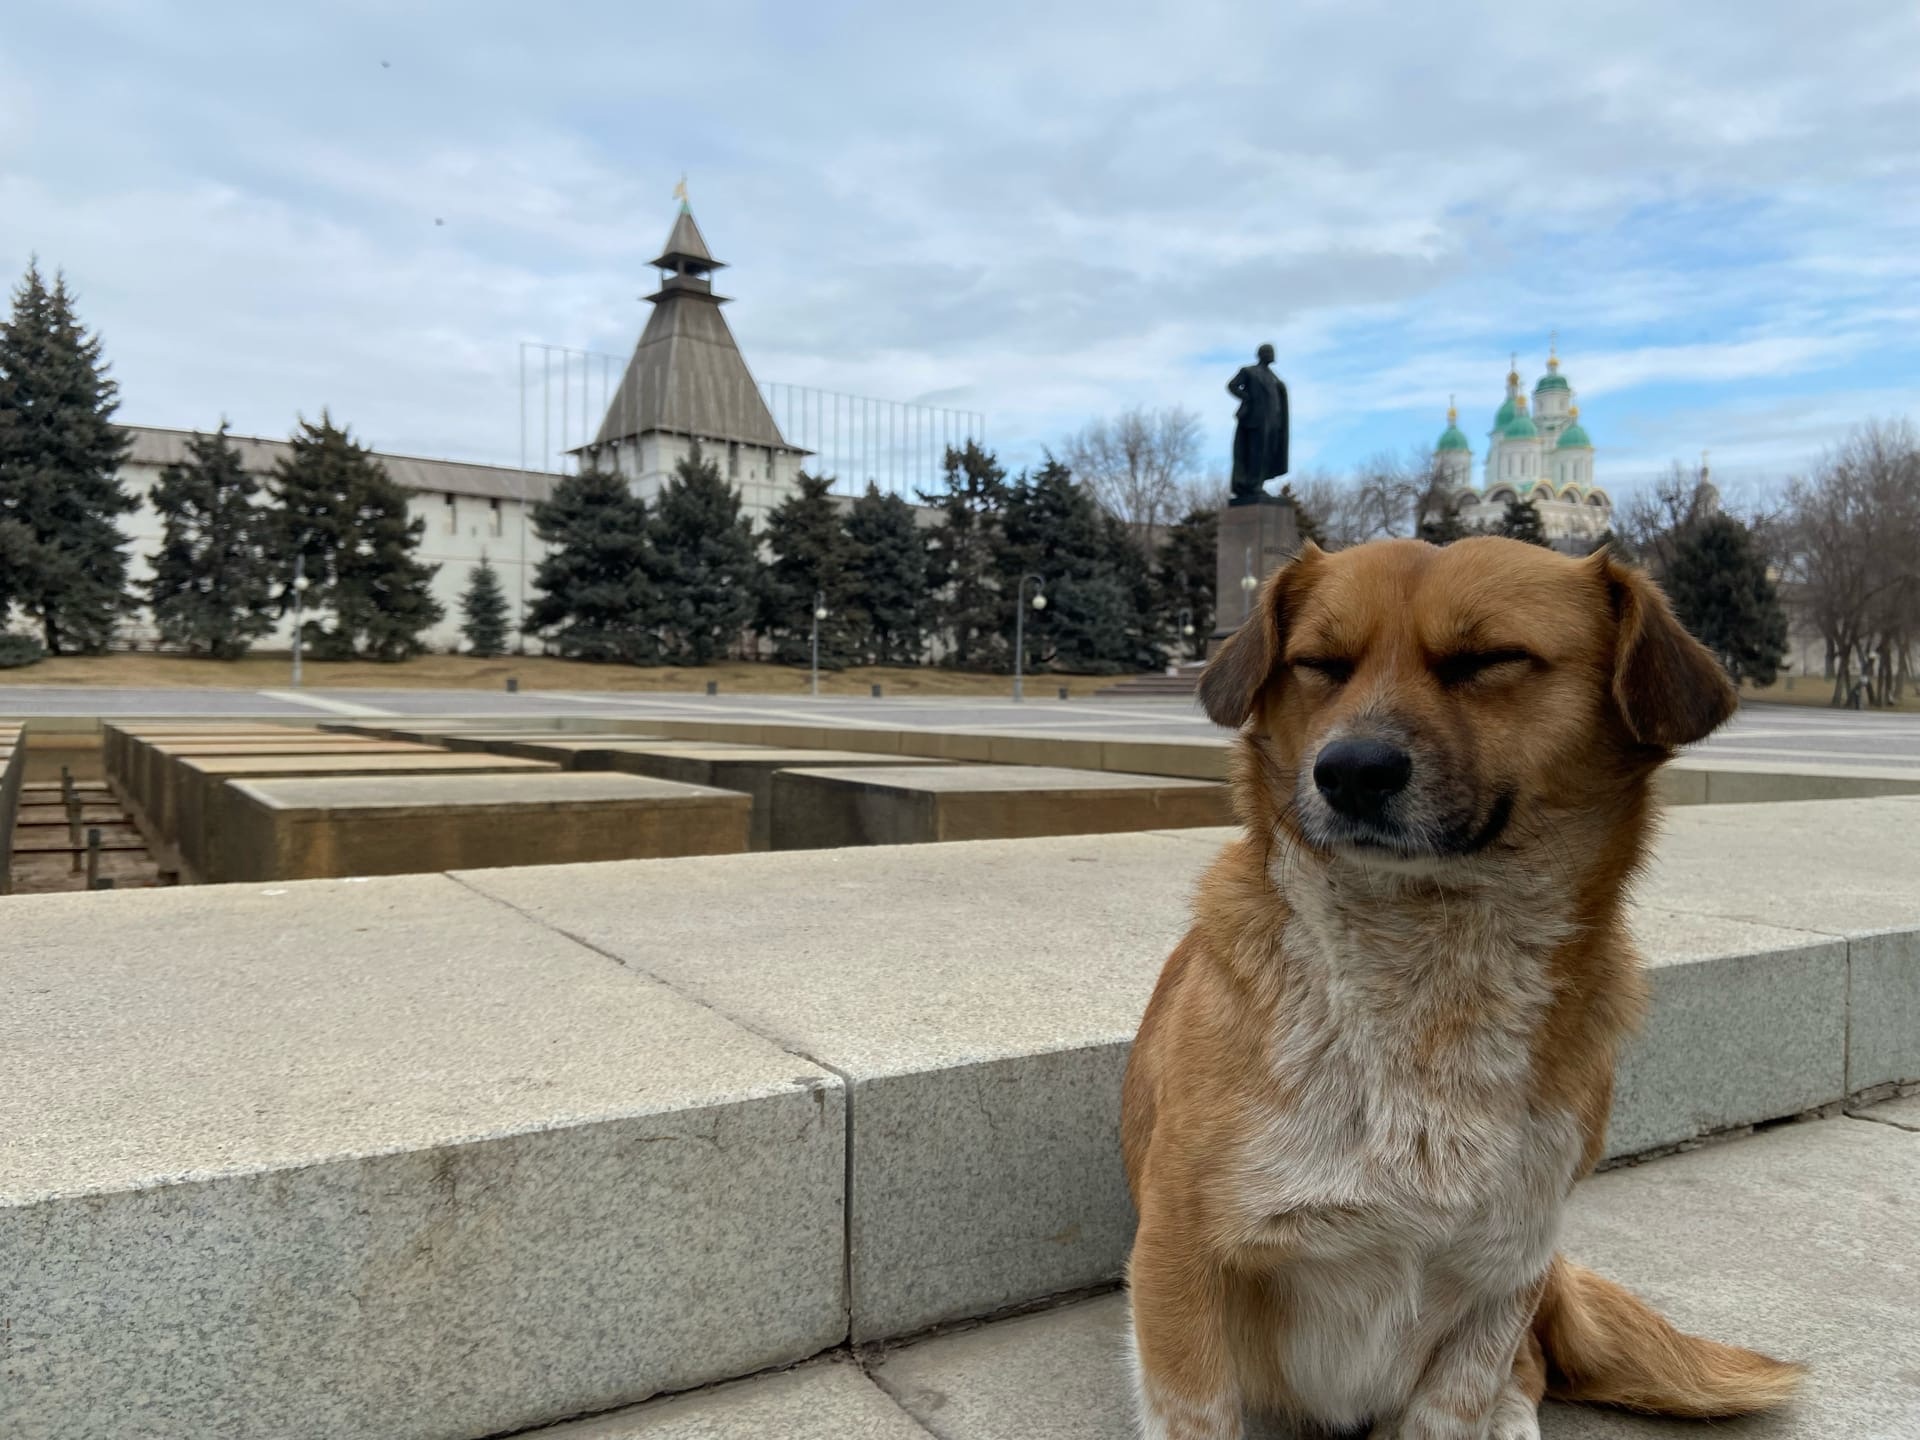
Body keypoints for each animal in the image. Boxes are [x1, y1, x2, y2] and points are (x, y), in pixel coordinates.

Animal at [1121, 541, 1797, 1440]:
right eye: (1320, 664)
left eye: (1489, 659)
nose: (1351, 771)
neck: (1427, 965)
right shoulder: (1180, 1257)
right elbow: (1196, 1412)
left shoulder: (1502, 1269)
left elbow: (1463, 1395)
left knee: (1531, 1365)